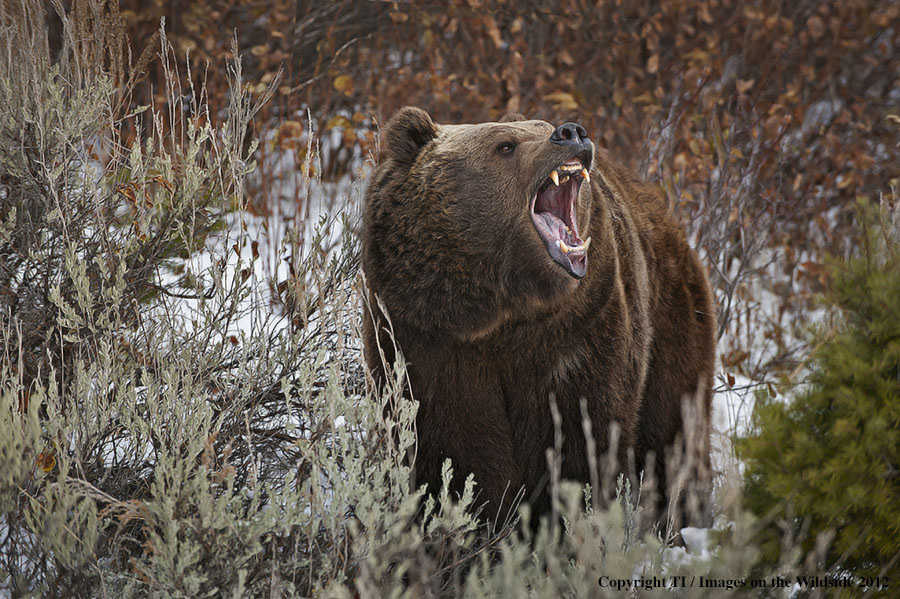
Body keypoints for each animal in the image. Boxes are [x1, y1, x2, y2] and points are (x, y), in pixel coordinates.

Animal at [361, 107, 716, 530]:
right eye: (505, 145)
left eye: (542, 128)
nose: (571, 132)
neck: (502, 312)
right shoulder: (421, 336)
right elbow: (448, 449)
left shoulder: (581, 333)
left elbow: (584, 442)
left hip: (672, 324)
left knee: (675, 433)